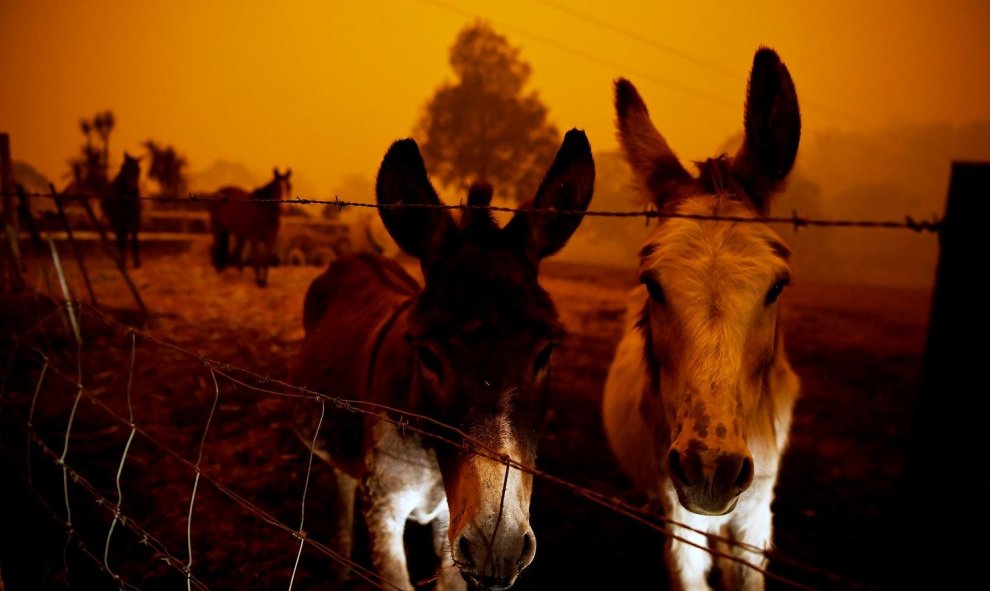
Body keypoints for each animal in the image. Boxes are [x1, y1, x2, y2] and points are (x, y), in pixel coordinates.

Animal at [294, 131, 596, 591]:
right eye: (428, 356)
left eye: (545, 352)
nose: (499, 548)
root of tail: (358, 256)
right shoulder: (384, 508)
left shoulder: (451, 521)